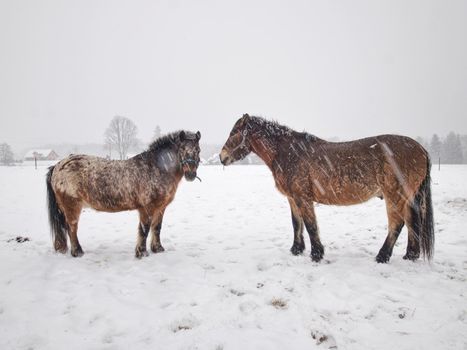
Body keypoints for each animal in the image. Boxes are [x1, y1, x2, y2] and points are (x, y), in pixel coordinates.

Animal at [45, 130, 201, 258]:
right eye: (182, 149)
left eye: (198, 150)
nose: (191, 174)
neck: (156, 168)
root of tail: (57, 165)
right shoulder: (147, 208)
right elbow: (144, 229)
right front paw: (141, 252)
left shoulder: (160, 208)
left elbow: (156, 228)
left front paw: (157, 249)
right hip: (72, 206)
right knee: (72, 227)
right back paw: (78, 252)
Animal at [221, 115, 436, 262]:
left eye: (234, 133)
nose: (222, 157)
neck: (289, 153)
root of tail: (421, 149)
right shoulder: (293, 198)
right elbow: (296, 224)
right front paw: (297, 250)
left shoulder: (303, 197)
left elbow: (310, 225)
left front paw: (316, 254)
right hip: (406, 197)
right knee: (411, 222)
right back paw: (410, 255)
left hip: (395, 196)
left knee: (397, 224)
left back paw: (382, 256)